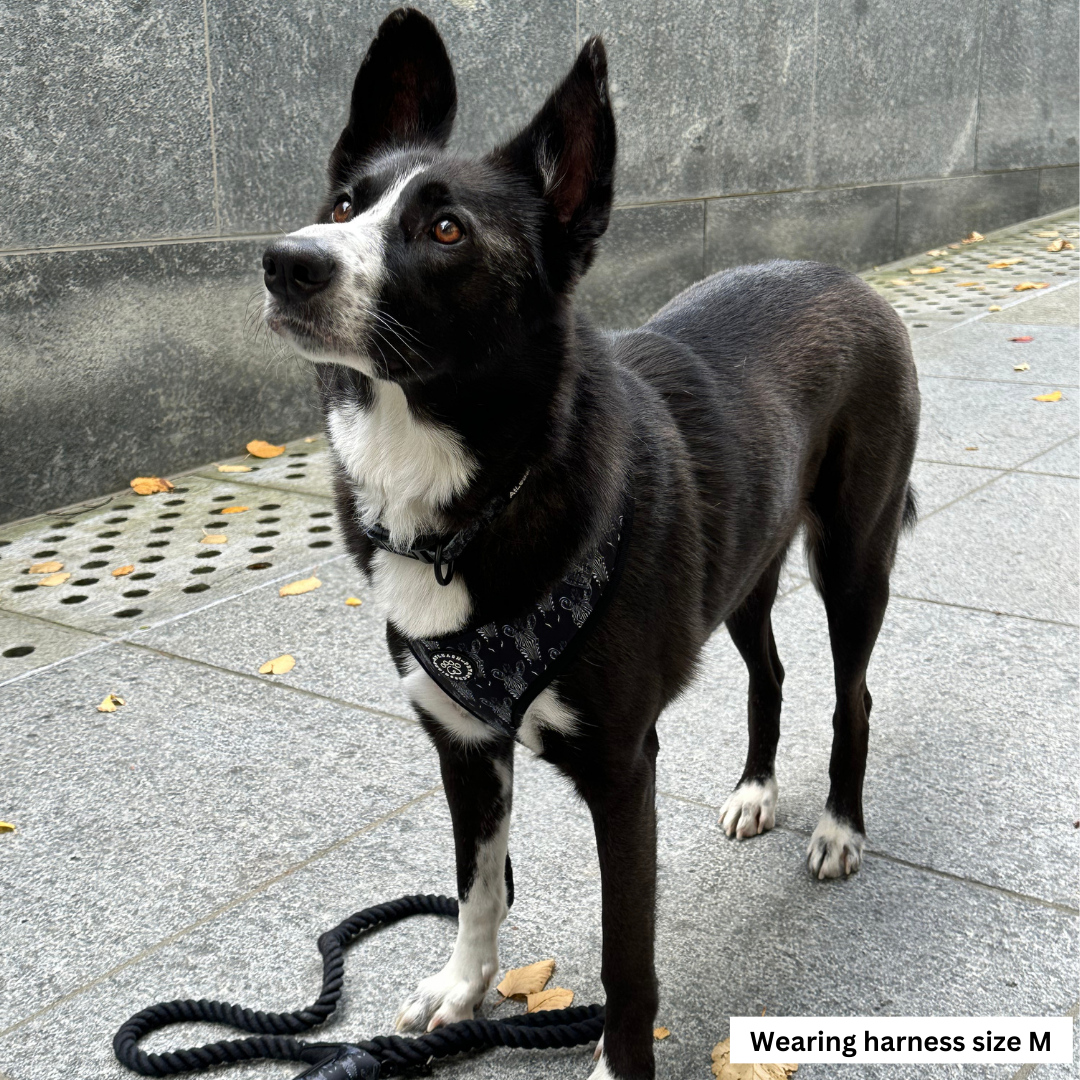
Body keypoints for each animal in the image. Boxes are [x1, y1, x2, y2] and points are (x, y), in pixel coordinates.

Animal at [261, 10, 920, 1080]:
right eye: (345, 202)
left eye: (445, 228)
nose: (286, 261)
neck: (477, 497)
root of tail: (845, 278)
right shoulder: (463, 744)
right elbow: (480, 885)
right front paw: (462, 990)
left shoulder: (621, 770)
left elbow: (626, 956)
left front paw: (619, 1058)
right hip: (742, 572)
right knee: (770, 672)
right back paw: (755, 790)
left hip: (854, 558)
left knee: (851, 693)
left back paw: (836, 828)